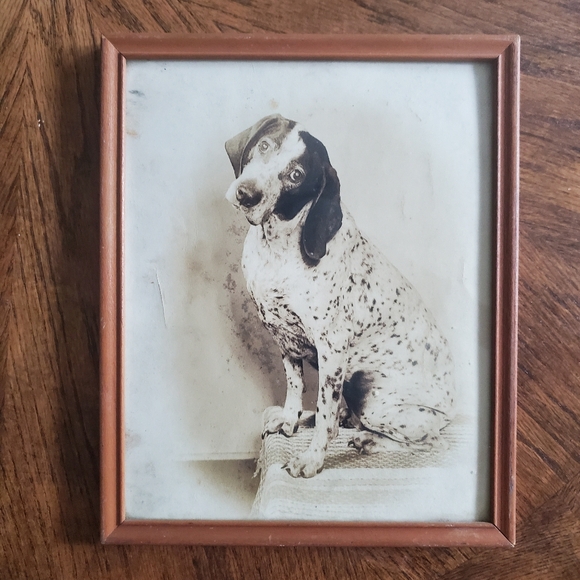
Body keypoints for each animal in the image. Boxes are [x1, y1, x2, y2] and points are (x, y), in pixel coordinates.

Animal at [225, 114, 455, 478]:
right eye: (264, 145)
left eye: (296, 175)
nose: (246, 193)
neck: (277, 249)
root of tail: (452, 410)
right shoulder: (283, 337)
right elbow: (294, 387)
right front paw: (289, 422)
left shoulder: (331, 349)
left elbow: (324, 415)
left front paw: (312, 460)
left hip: (373, 397)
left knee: (431, 441)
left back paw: (369, 440)